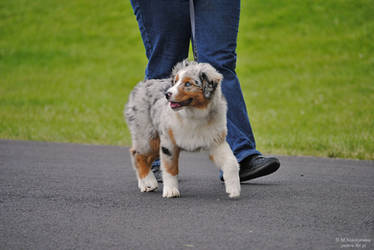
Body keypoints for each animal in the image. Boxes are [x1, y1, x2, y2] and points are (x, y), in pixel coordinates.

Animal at [124, 60, 241, 197]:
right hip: (148, 135)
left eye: (188, 84)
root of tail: (140, 86)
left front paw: (234, 189)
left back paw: (144, 184)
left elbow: (231, 162)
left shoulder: (216, 141)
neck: (194, 114)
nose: (167, 94)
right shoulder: (168, 143)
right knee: (137, 154)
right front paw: (171, 191)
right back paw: (148, 182)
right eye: (175, 82)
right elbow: (170, 168)